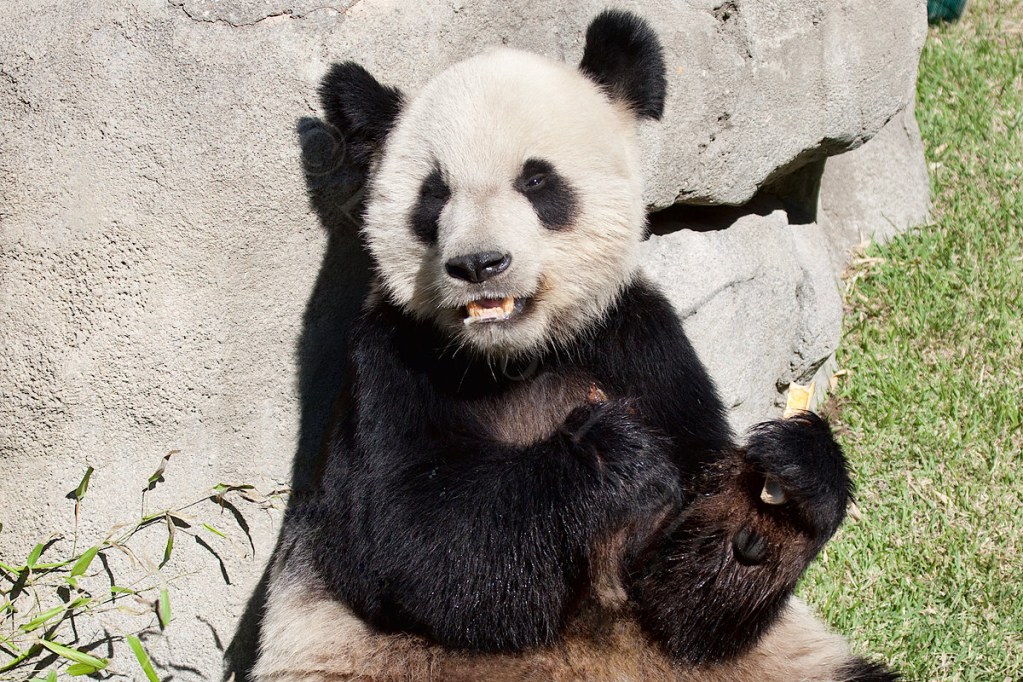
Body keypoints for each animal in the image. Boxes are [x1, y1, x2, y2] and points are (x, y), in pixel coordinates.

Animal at [252, 10, 897, 682]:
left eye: (537, 181)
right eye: (434, 195)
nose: (479, 264)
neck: (512, 356)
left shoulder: (638, 342)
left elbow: (683, 603)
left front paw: (788, 478)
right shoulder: (389, 359)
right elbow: (408, 542)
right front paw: (611, 457)